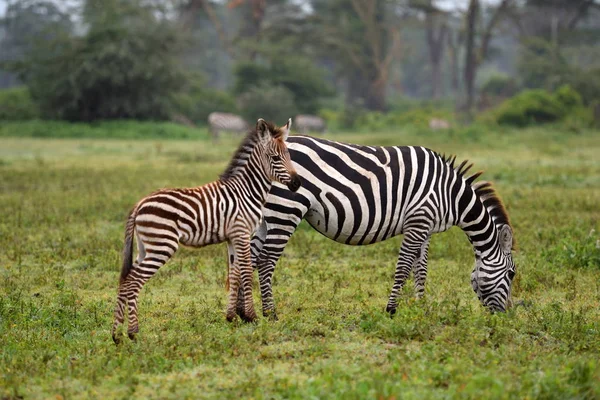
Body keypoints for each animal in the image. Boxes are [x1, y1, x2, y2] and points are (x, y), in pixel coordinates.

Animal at [110, 119, 302, 344]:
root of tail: (139, 204)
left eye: (289, 156)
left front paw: (231, 317)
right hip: (162, 245)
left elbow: (234, 273)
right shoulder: (242, 232)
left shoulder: (232, 237)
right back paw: (133, 332)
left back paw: (116, 334)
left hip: (145, 247)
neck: (246, 191)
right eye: (275, 158)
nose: (297, 183)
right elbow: (245, 271)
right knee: (133, 281)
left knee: (125, 280)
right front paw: (251, 316)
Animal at [239, 137, 516, 318]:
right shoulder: (418, 221)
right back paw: (270, 313)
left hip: (267, 216)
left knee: (248, 259)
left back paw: (243, 314)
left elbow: (421, 270)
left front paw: (421, 308)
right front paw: (391, 310)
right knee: (266, 261)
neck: (450, 194)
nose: (505, 316)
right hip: (286, 209)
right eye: (512, 274)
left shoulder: (425, 227)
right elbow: (403, 267)